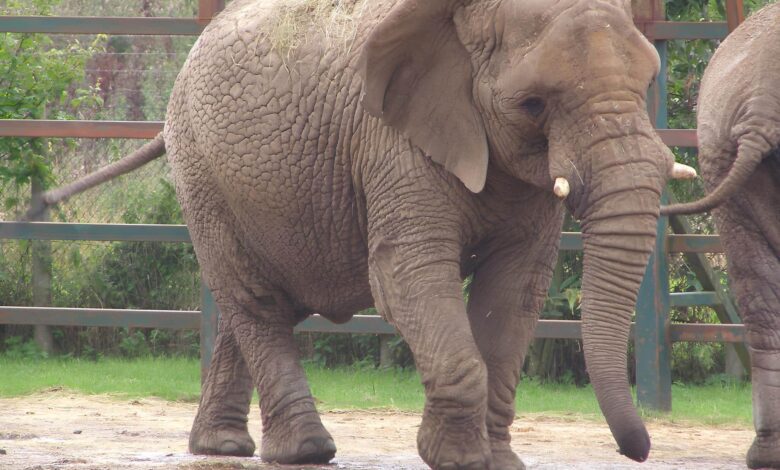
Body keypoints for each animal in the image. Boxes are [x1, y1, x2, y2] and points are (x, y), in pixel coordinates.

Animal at [35, 0, 699, 468]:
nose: (636, 451)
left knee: (260, 298)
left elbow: (514, 293)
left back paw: (221, 448)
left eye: (647, 85)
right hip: (202, 171)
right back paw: (305, 452)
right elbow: (407, 274)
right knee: (256, 298)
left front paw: (498, 463)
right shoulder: (392, 142)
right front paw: (457, 460)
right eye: (533, 104)